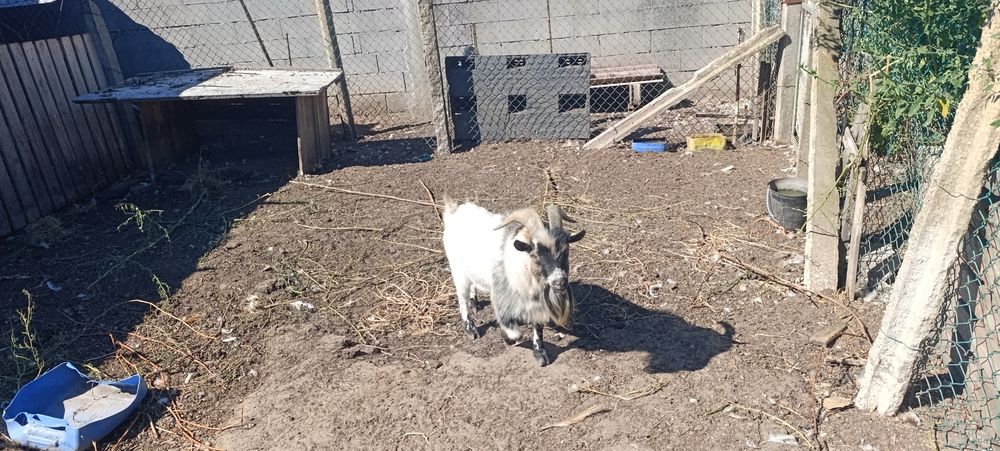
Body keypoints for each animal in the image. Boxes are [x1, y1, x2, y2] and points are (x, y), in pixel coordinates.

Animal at [441, 199, 585, 366]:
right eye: (534, 255)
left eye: (566, 251)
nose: (559, 282)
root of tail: (455, 212)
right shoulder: (501, 299)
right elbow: (514, 333)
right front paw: (507, 339)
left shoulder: (537, 304)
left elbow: (538, 326)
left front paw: (540, 353)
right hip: (458, 272)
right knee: (462, 300)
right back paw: (472, 330)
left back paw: (475, 303)